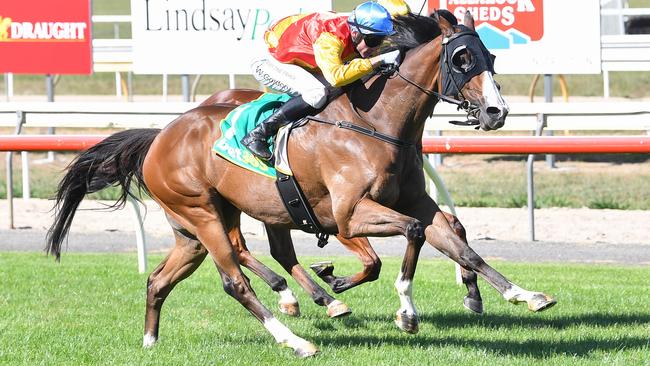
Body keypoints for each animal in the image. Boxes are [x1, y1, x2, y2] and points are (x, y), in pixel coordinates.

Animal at [48, 12, 552, 358]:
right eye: (461, 58)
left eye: (491, 57)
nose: (496, 112)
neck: (377, 123)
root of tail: (159, 136)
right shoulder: (350, 214)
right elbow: (406, 238)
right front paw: (403, 309)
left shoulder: (415, 201)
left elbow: (457, 241)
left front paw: (522, 295)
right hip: (203, 214)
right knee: (234, 278)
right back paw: (296, 337)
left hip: (200, 226)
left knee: (161, 279)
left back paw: (152, 340)